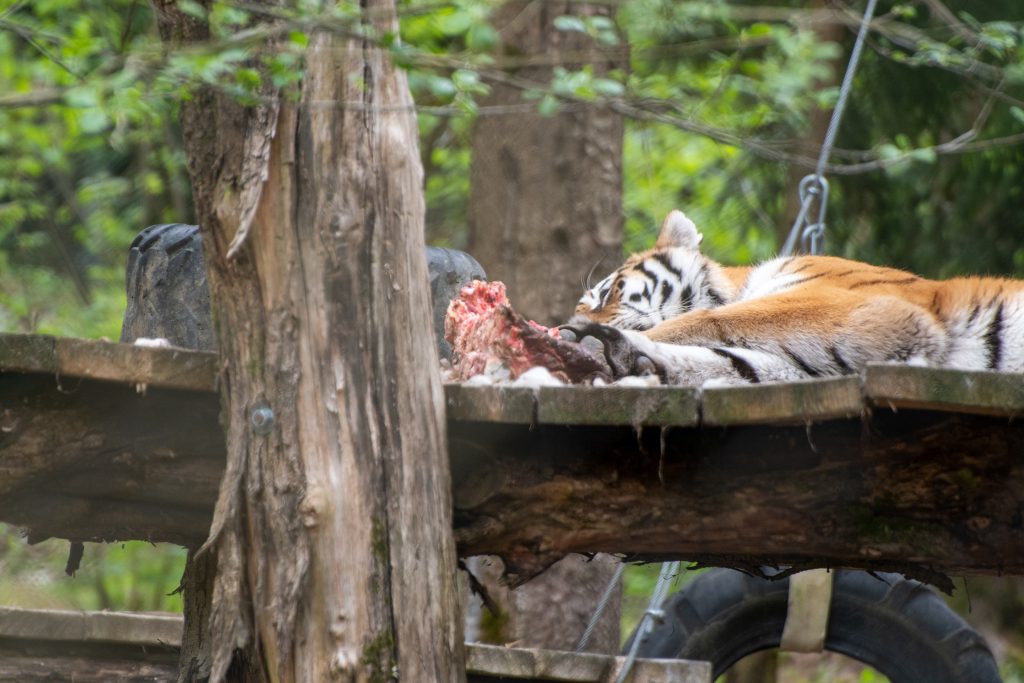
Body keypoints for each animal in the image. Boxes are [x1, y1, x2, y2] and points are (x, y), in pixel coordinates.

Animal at [560, 210, 1024, 385]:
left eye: (608, 292)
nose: (568, 328)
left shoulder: (874, 311)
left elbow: (709, 320)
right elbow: (737, 364)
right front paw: (627, 356)